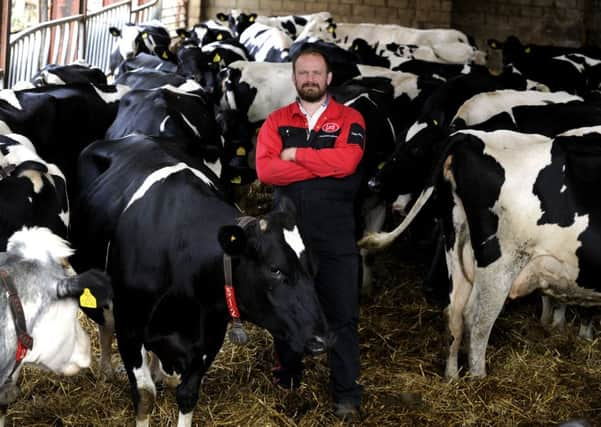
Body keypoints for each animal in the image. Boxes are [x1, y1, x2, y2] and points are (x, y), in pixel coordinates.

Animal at [75, 133, 332, 424]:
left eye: (314, 267)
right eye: (275, 269)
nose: (322, 339)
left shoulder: (209, 335)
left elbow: (188, 395)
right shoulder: (130, 329)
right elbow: (144, 397)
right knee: (105, 324)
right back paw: (106, 369)